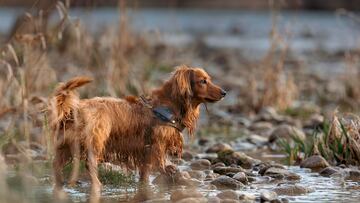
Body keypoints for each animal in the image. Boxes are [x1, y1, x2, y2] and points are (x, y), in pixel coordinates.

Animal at [49, 64, 226, 196]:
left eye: (209, 79)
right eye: (203, 81)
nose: (224, 92)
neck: (167, 105)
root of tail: (75, 110)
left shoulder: (145, 150)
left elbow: (145, 173)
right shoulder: (156, 145)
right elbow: (160, 164)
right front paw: (169, 170)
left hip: (65, 145)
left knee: (56, 165)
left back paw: (58, 185)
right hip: (96, 139)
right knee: (89, 163)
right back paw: (97, 185)